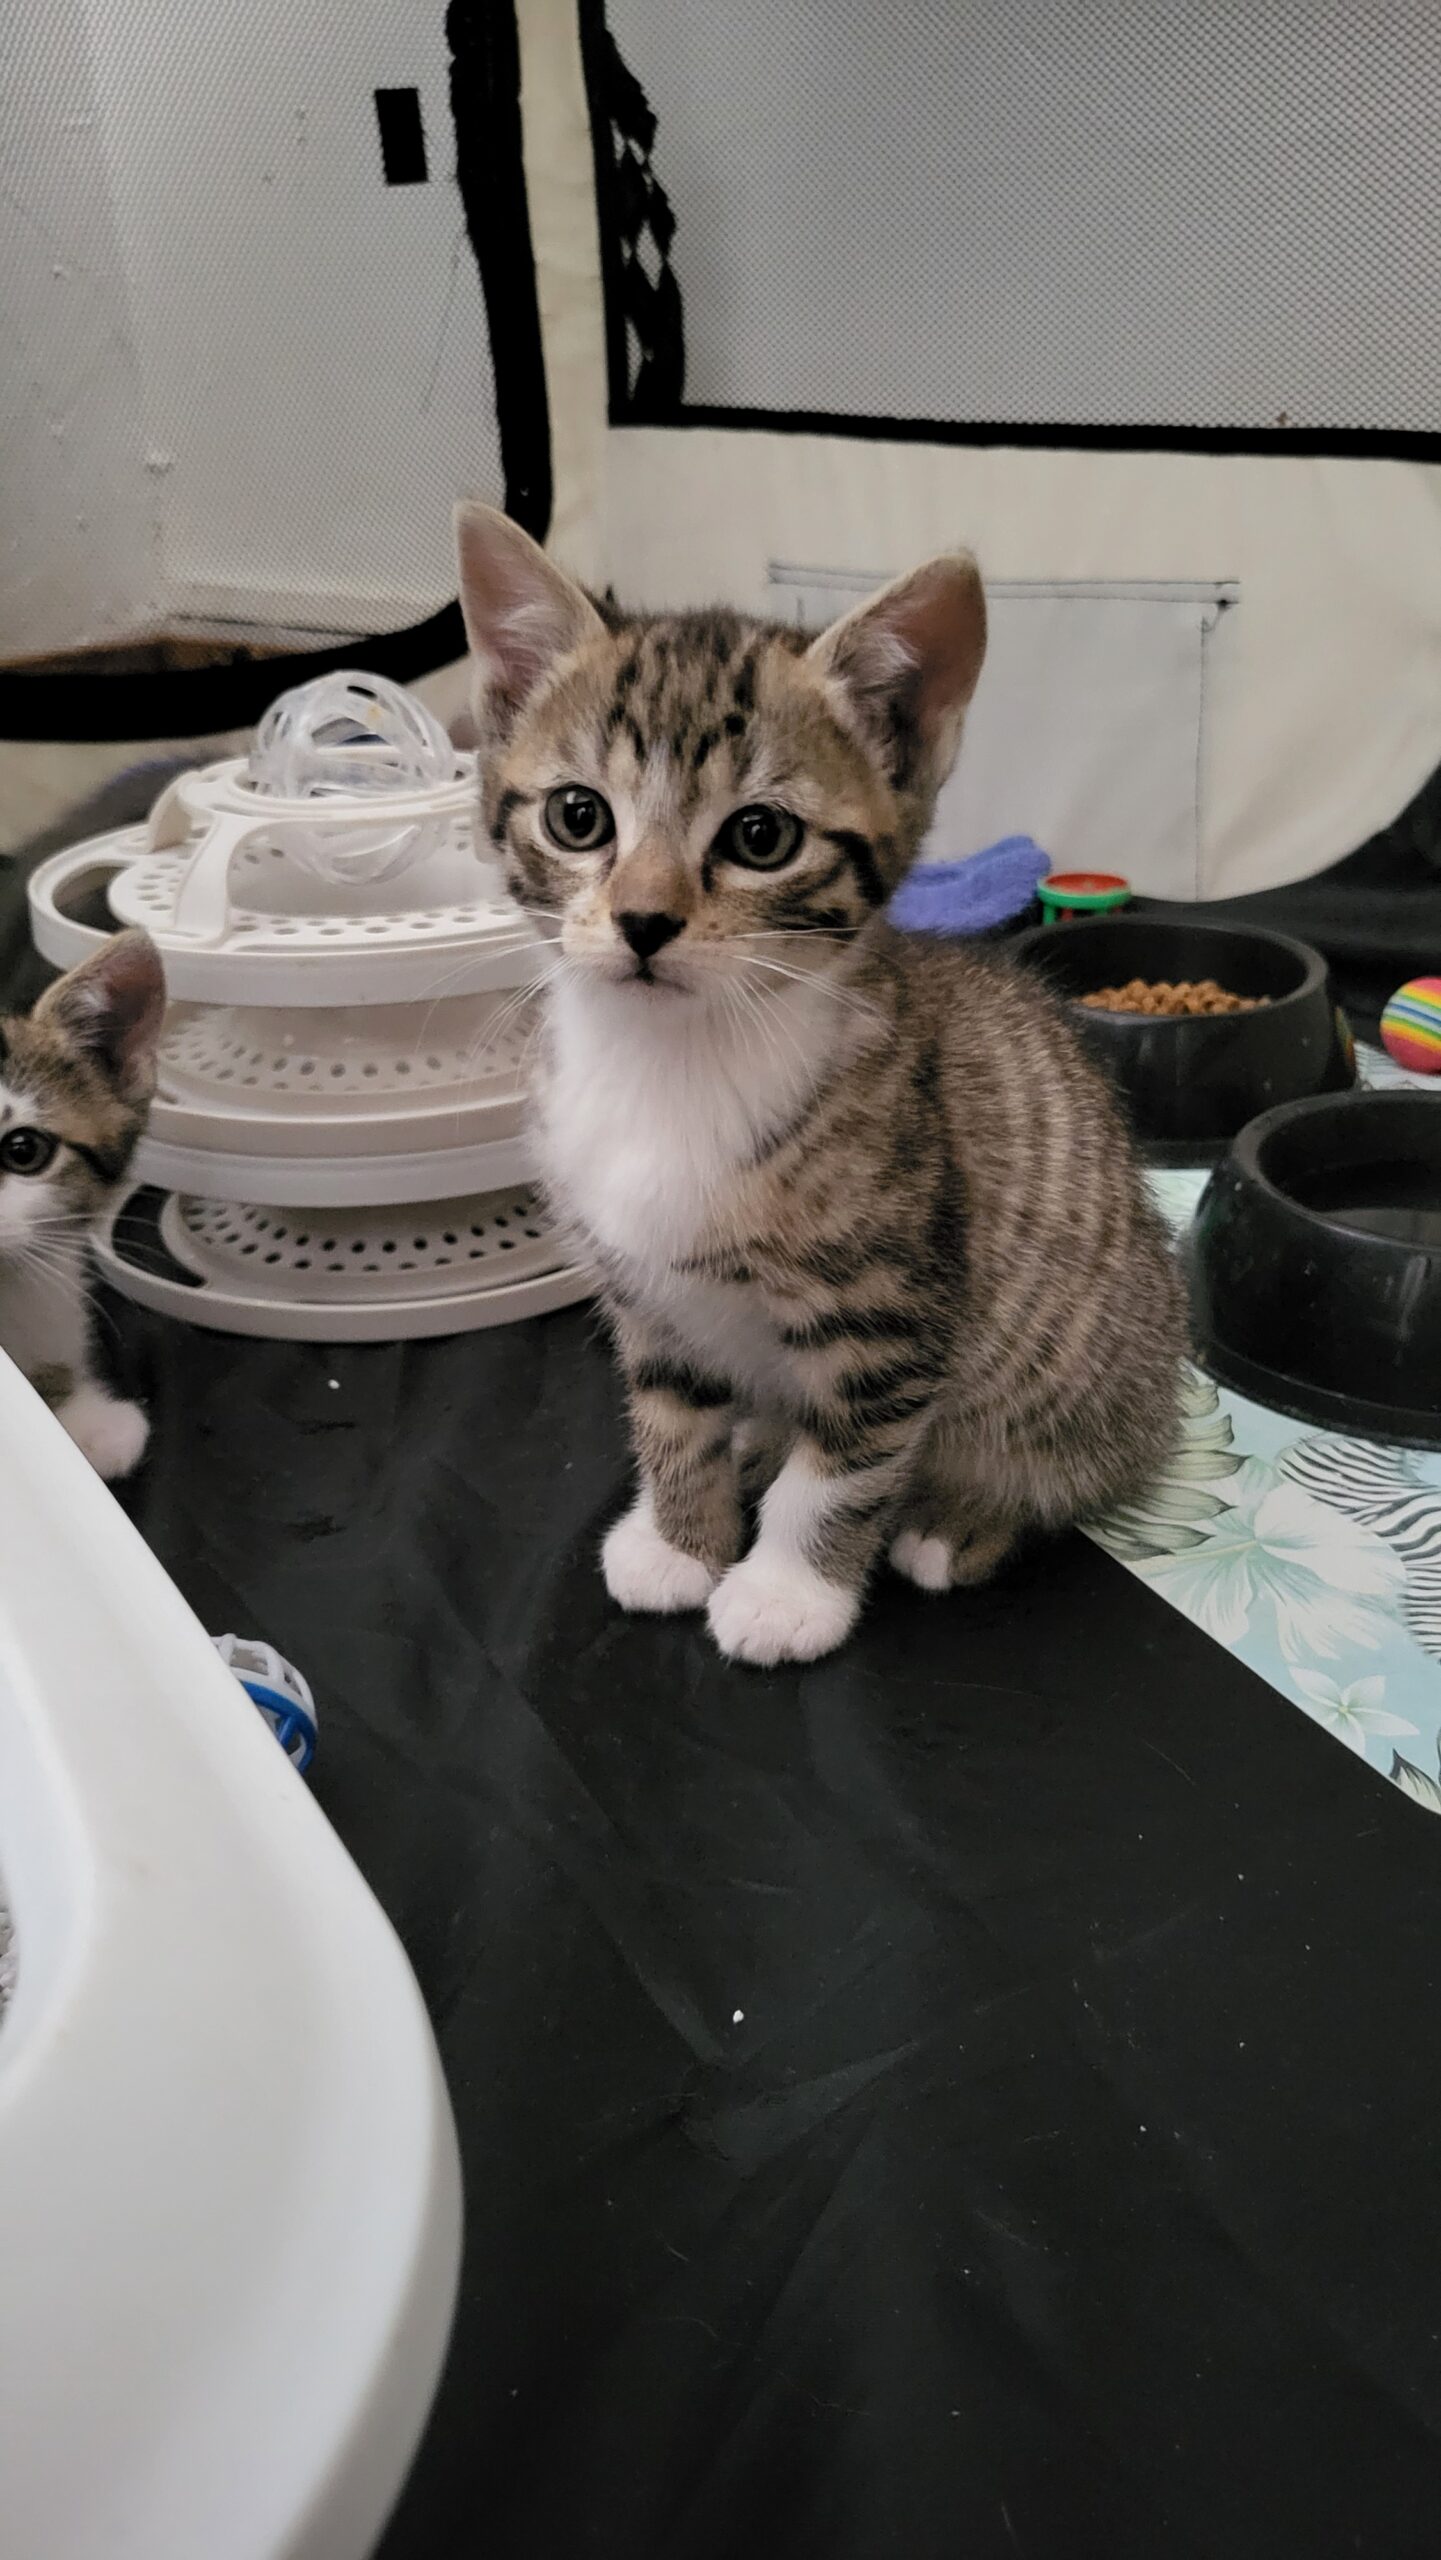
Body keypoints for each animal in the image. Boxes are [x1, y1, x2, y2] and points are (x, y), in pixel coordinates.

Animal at [455, 503, 1185, 1666]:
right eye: (578, 816)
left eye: (761, 836)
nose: (643, 920)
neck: (673, 1060)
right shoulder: (645, 1296)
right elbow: (671, 1417)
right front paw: (679, 1538)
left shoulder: (891, 1310)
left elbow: (843, 1468)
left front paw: (787, 1592)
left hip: (1072, 1366)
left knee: (1057, 1472)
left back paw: (960, 1519)